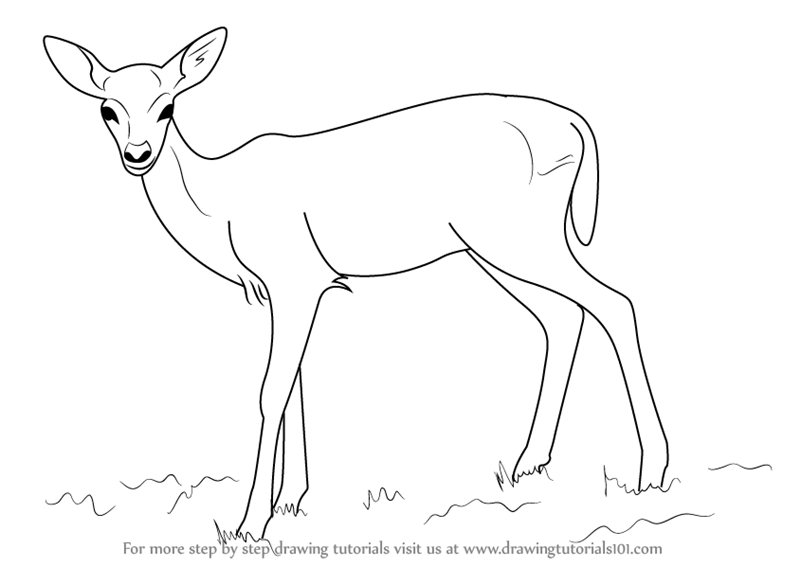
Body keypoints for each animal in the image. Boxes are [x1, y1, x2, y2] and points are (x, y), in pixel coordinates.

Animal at [43, 27, 669, 539]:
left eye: (168, 106)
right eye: (107, 109)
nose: (138, 154)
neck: (221, 207)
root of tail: (577, 125)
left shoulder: (295, 278)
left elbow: (270, 390)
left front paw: (250, 523)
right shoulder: (280, 292)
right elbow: (292, 386)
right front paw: (291, 501)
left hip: (517, 235)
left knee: (614, 303)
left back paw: (651, 472)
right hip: (498, 245)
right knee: (563, 316)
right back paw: (525, 467)